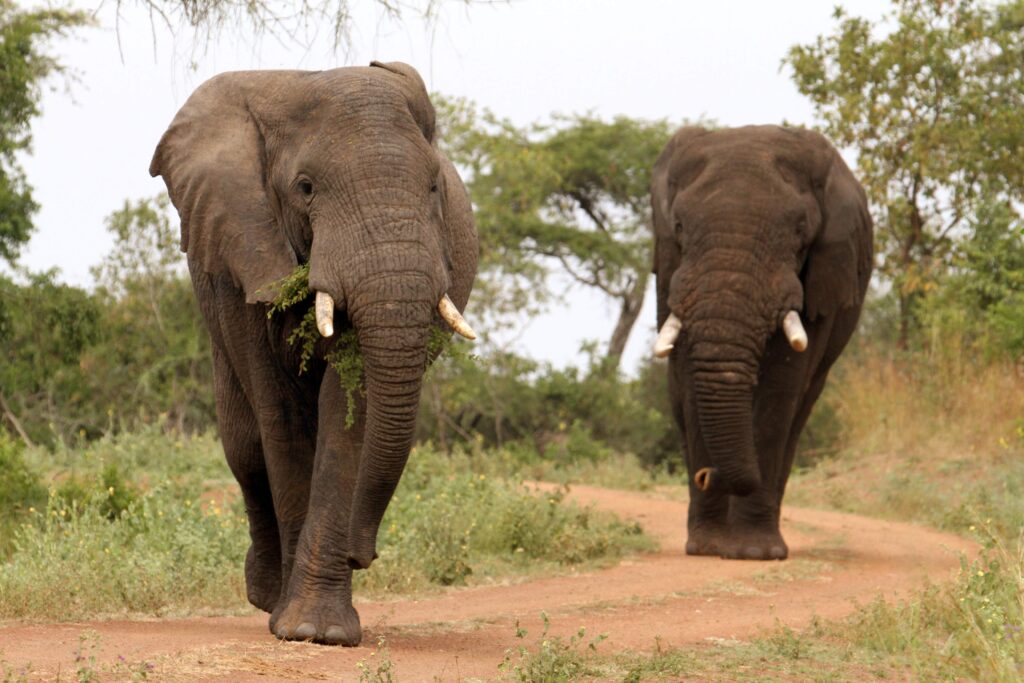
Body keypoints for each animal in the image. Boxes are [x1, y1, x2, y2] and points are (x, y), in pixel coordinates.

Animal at [150, 61, 478, 645]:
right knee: (243, 444)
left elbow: (348, 417)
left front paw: (317, 631)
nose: (363, 555)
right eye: (305, 188)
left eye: (434, 186)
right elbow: (281, 415)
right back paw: (264, 595)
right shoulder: (245, 248)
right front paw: (297, 627)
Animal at [651, 125, 872, 560]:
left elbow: (779, 391)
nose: (706, 475)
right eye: (679, 226)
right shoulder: (671, 271)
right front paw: (708, 548)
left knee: (800, 409)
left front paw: (755, 553)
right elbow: (689, 379)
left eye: (801, 230)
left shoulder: (820, 276)